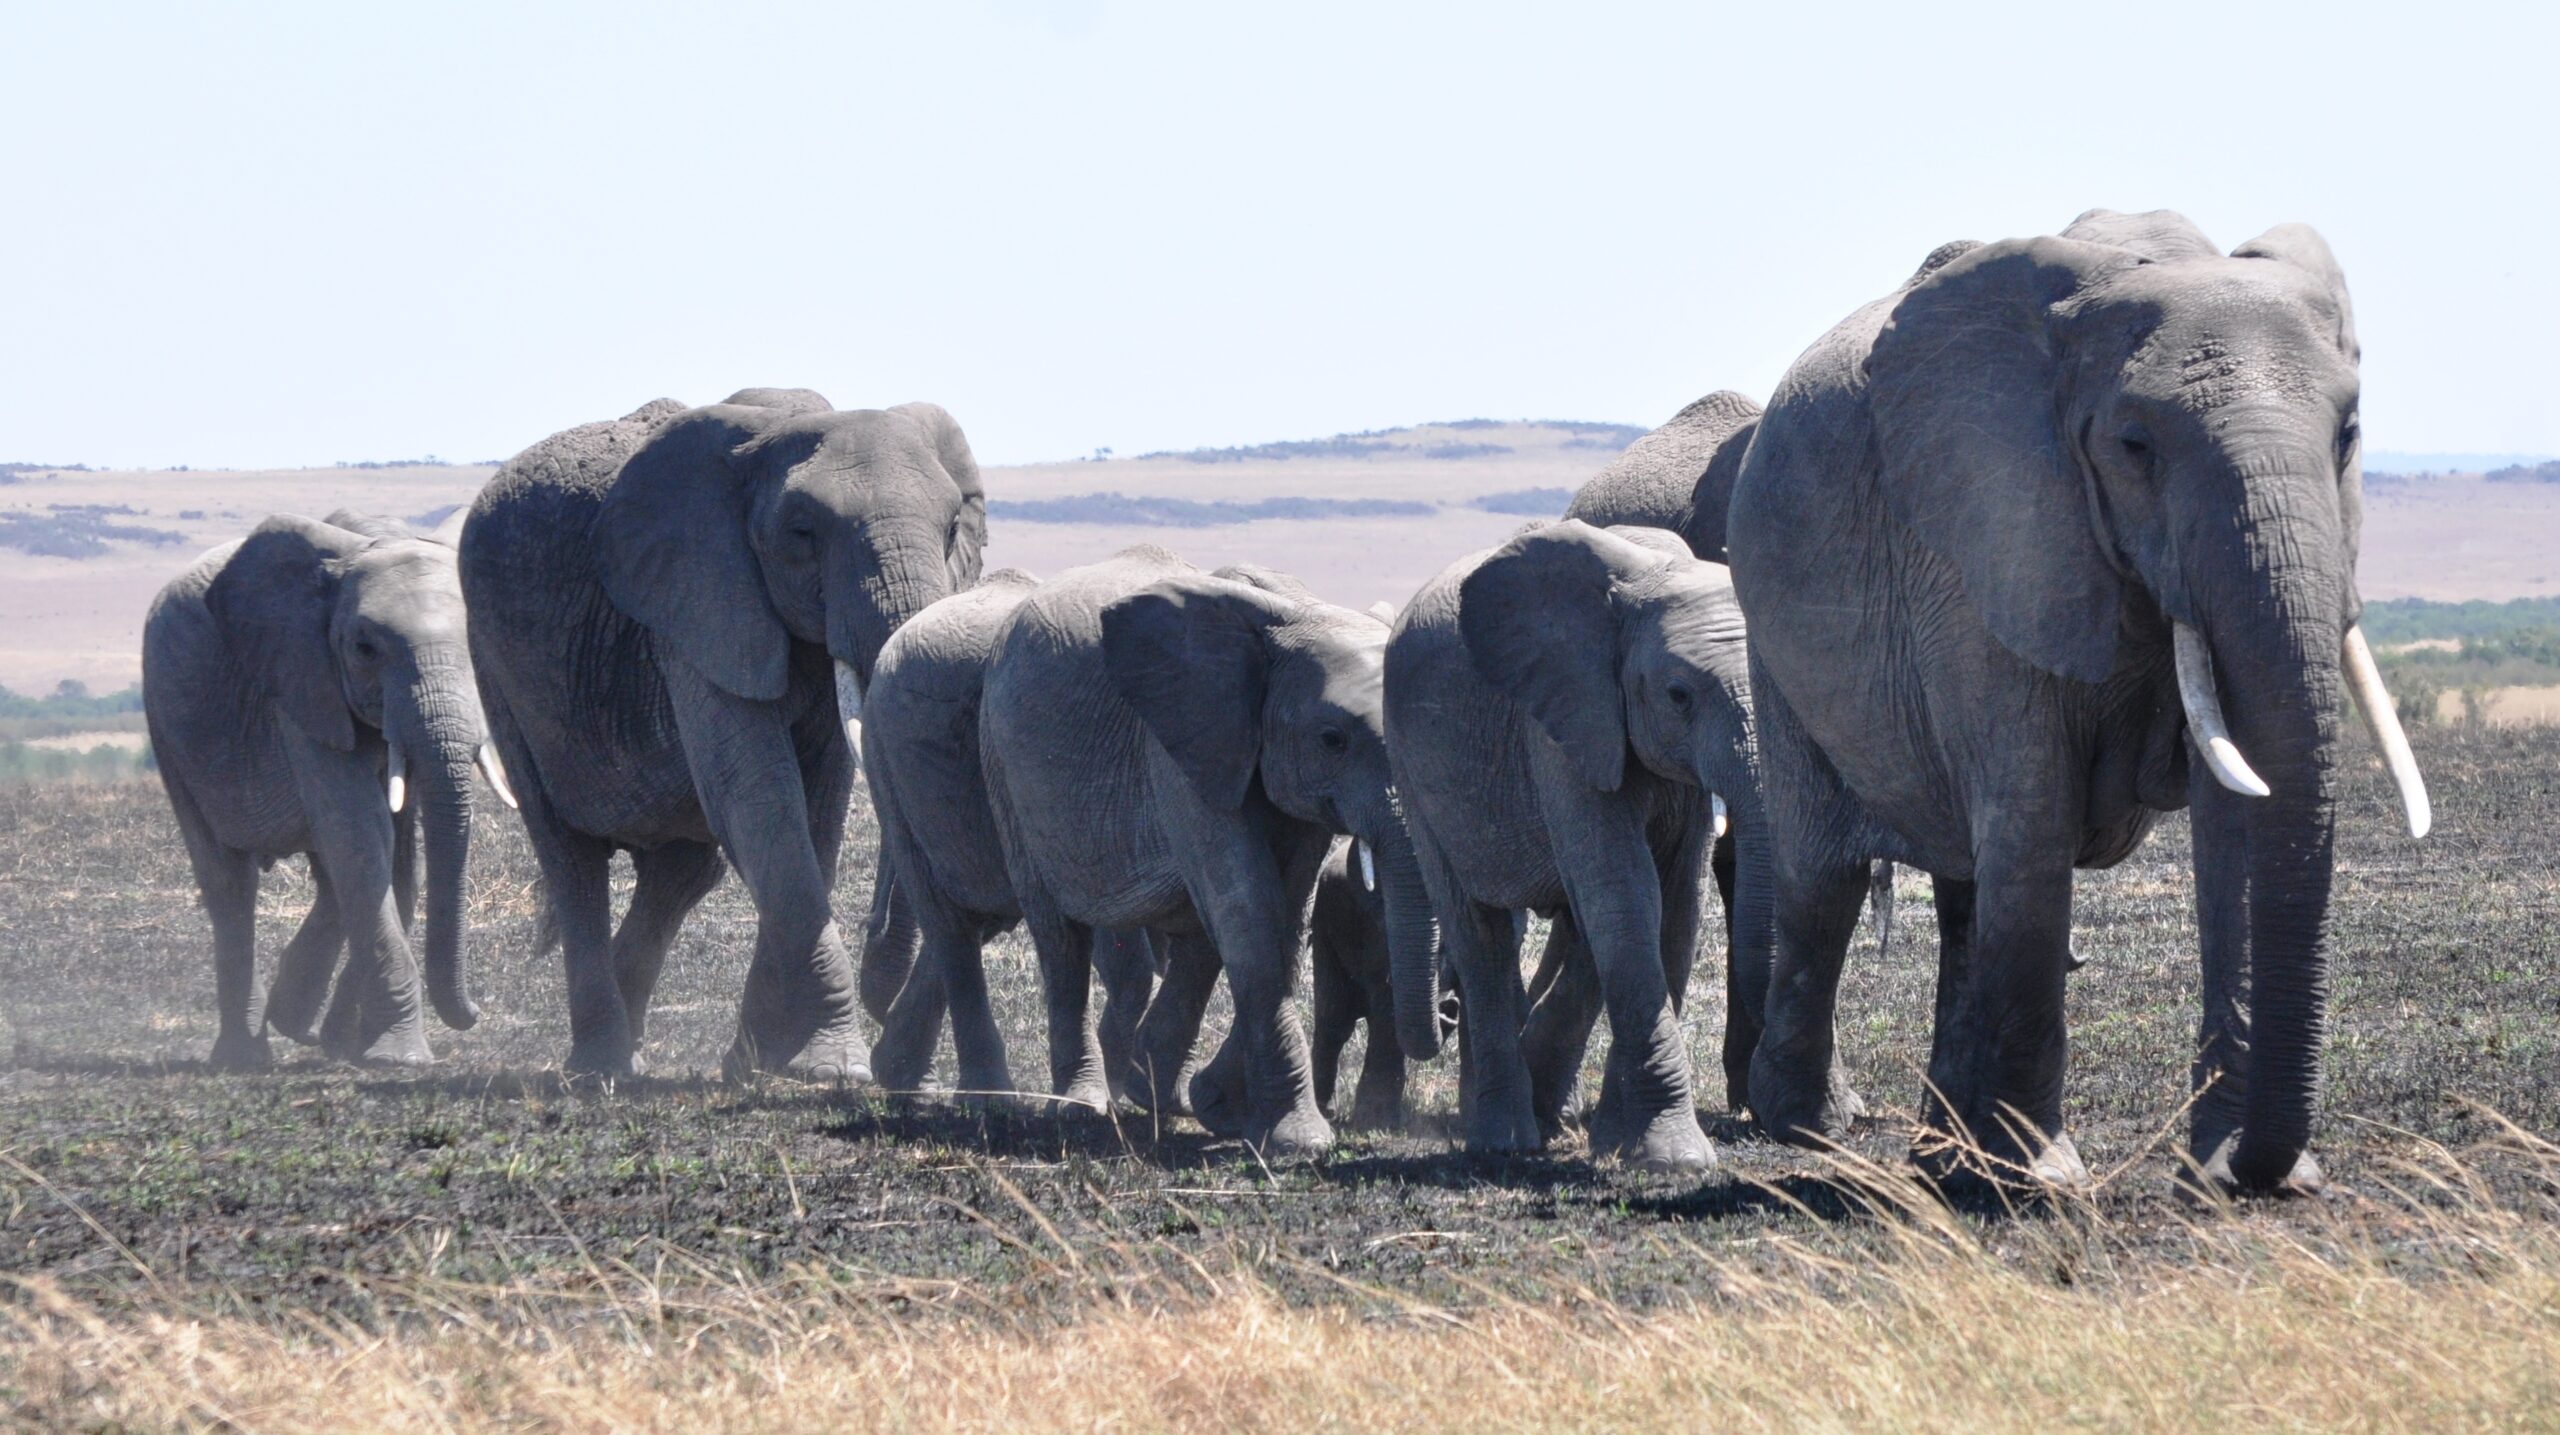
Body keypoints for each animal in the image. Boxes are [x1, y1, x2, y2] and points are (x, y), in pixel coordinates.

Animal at [143, 510, 515, 1069]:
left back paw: (299, 1024)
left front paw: (353, 1046)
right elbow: (360, 836)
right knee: (230, 883)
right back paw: (247, 1057)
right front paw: (400, 1059)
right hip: (168, 727)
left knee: (345, 875)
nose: (475, 1013)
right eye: (364, 649)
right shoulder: (302, 684)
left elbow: (389, 856)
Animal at [459, 388, 987, 1080]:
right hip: (498, 670)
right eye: (802, 533)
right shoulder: (696, 605)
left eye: (952, 530)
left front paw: (758, 1065)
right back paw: (601, 1070)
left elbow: (815, 814)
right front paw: (833, 1067)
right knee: (571, 861)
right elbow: (759, 797)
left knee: (682, 871)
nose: (881, 991)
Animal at [978, 546, 1434, 1158]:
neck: (1298, 615)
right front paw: (1298, 1141)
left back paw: (1158, 1093)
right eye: (1332, 740)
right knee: (1061, 939)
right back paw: (1082, 1105)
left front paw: (1223, 1109)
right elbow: (1250, 914)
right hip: (1003, 768)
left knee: (1197, 939)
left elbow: (1284, 919)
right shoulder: (1184, 749)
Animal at [1384, 520, 1769, 1171]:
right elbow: (1625, 894)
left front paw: (1622, 1142)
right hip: (1411, 771)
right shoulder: (1564, 725)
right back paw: (1505, 1139)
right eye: (1678, 695)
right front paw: (1676, 1159)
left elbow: (1677, 906)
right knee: (1480, 935)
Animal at [1725, 210, 2430, 1195]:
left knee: (1964, 892)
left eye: (2349, 435)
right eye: (2135, 447)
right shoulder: (1988, 540)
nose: (2259, 1175)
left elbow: (2237, 822)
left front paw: (2231, 1174)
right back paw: (1813, 1129)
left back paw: (1946, 1160)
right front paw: (2046, 1181)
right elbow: (2034, 806)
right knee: (1824, 876)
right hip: (1771, 633)